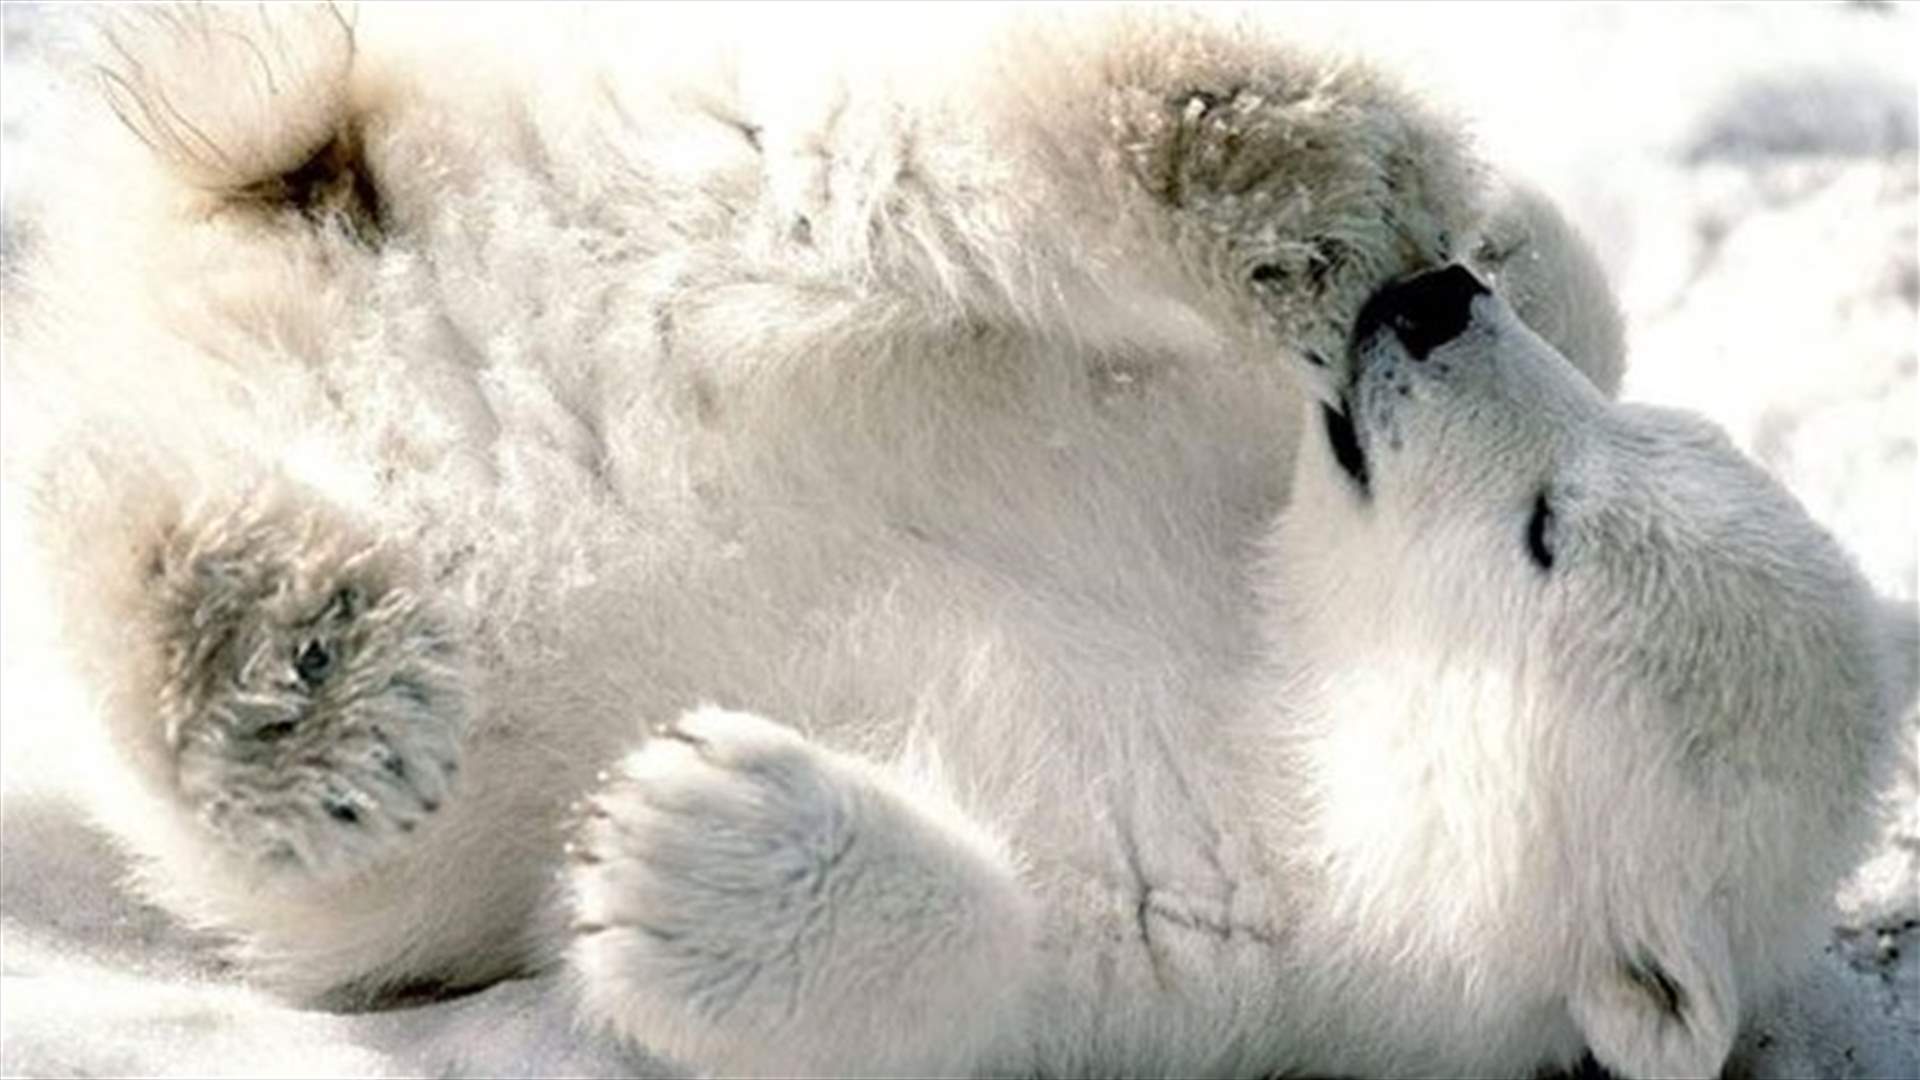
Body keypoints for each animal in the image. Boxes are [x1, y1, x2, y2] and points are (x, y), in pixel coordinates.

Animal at [3, 4, 1910, 1077]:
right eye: (1639, 451)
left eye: (1544, 534)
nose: (1427, 312)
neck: (1280, 672)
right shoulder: (1223, 450)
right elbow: (1556, 298)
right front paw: (1480, 231)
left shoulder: (1232, 961)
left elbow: (974, 981)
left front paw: (682, 844)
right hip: (647, 187)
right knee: (871, 169)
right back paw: (1272, 158)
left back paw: (287, 670)